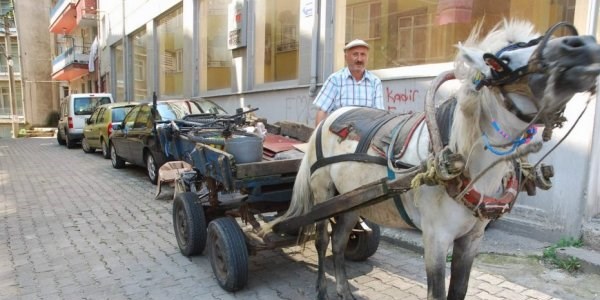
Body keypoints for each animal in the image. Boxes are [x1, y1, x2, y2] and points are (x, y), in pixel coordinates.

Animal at [264, 19, 600, 298]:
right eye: (498, 62)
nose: (582, 45)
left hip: (350, 201)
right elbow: (437, 293)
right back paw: (322, 288)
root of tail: (327, 120)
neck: (458, 160)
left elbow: (459, 290)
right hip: (324, 194)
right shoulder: (436, 239)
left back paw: (344, 290)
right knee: (322, 240)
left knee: (339, 240)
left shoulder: (471, 239)